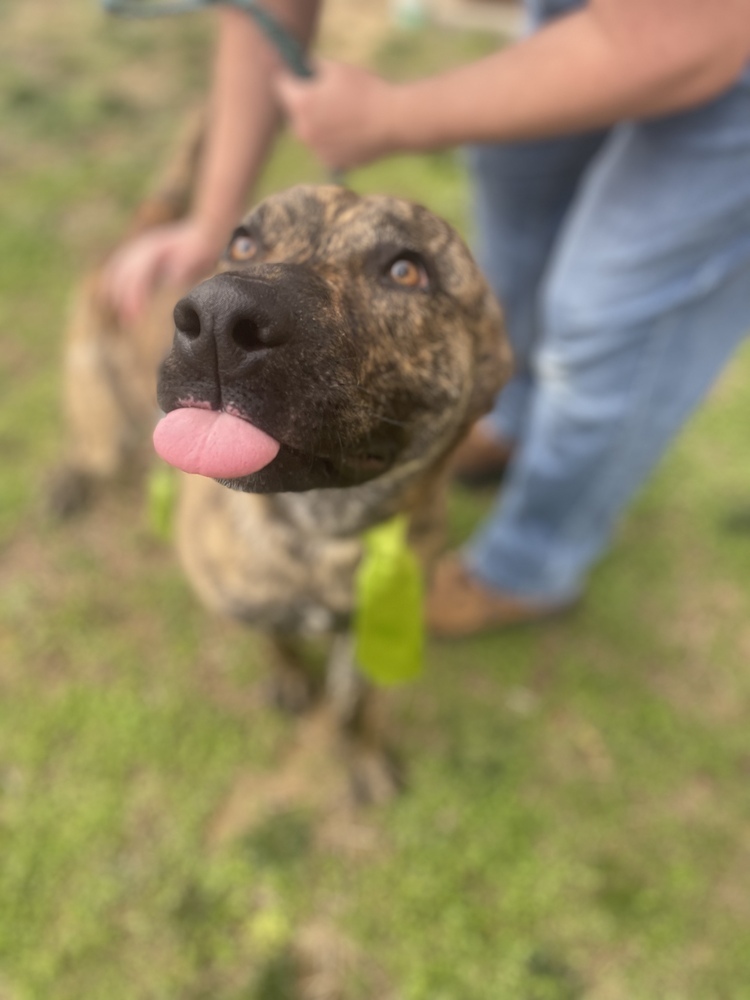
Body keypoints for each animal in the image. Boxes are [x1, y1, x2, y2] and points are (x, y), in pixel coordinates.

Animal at [53, 137, 512, 804]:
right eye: (244, 243)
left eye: (407, 270)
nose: (218, 318)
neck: (319, 533)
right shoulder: (246, 604)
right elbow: (277, 641)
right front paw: (291, 678)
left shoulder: (366, 631)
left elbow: (356, 709)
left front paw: (363, 756)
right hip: (97, 398)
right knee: (92, 443)